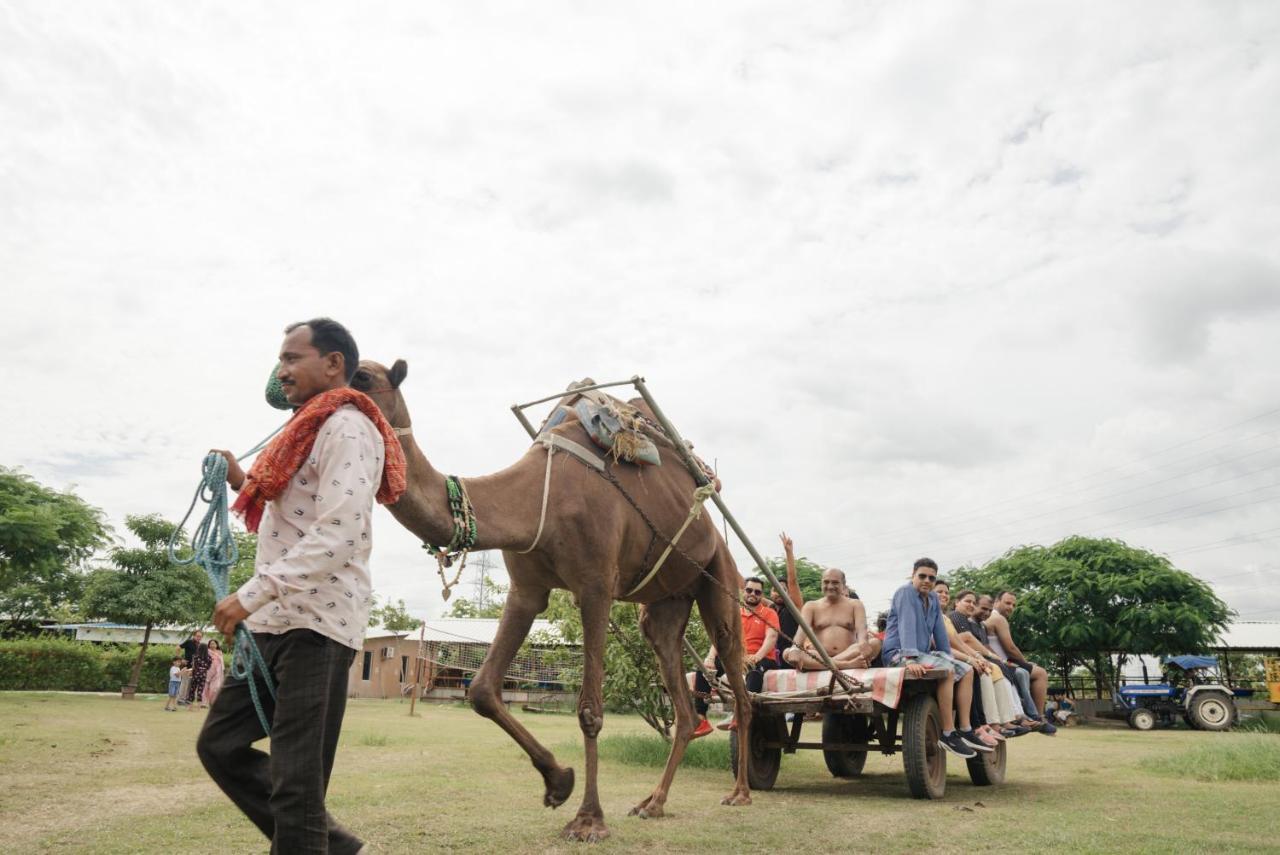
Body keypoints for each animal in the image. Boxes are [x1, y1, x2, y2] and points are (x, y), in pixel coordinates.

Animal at [353, 355, 747, 839]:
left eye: (362, 376)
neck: (536, 498)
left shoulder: (595, 586)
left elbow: (590, 710)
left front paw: (588, 820)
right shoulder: (526, 589)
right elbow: (481, 690)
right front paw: (559, 783)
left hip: (719, 574)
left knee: (739, 684)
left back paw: (740, 793)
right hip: (665, 603)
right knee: (681, 696)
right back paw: (653, 803)